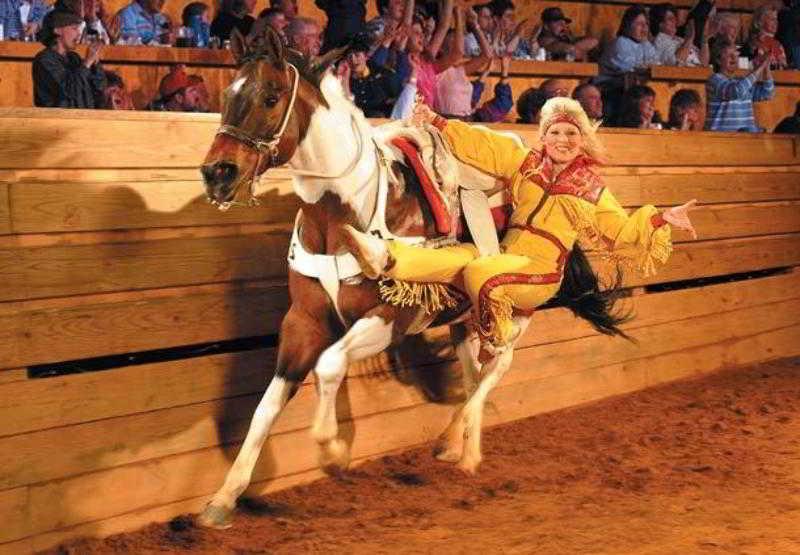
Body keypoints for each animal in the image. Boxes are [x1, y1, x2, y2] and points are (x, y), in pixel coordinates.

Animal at [197, 27, 608, 528]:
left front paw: (333, 451)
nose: (218, 173)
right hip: (462, 319)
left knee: (496, 369)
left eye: (271, 97)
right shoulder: (303, 322)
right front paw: (225, 496)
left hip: (517, 308)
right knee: (473, 373)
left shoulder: (392, 318)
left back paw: (456, 444)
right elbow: (267, 406)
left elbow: (329, 365)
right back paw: (460, 447)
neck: (345, 214)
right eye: (226, 95)